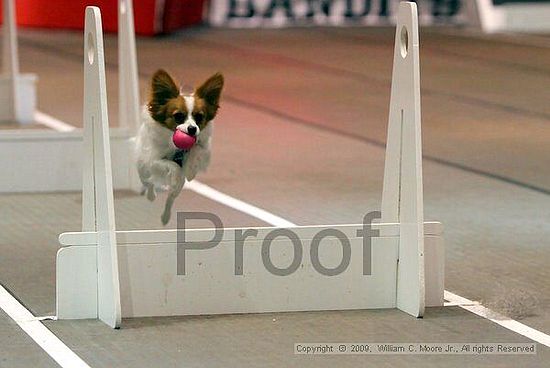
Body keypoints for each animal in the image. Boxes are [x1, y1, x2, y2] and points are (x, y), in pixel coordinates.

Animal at [136, 69, 224, 224]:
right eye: (178, 116)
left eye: (199, 117)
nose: (192, 129)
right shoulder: (153, 160)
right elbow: (173, 165)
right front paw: (176, 172)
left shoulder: (203, 148)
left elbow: (195, 149)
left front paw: (190, 169)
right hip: (144, 170)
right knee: (149, 183)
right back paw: (151, 195)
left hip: (175, 189)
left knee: (171, 197)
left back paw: (165, 216)